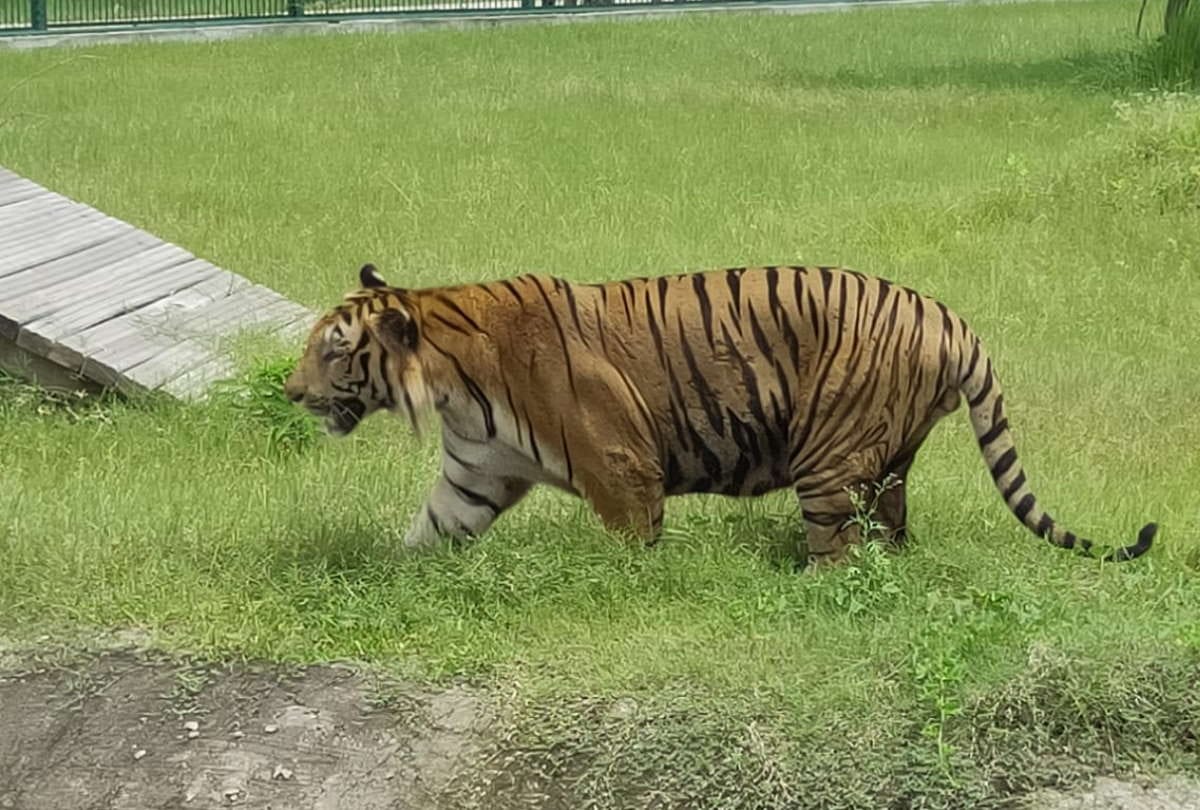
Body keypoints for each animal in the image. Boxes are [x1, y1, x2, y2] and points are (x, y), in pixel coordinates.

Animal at [283, 263, 1157, 568]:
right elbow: (428, 532)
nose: (290, 393)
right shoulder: (472, 474)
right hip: (888, 460)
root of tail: (952, 319)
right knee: (890, 531)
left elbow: (632, 548)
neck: (452, 385)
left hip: (827, 457)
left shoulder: (622, 468)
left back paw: (805, 584)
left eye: (333, 349)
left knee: (840, 550)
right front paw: (389, 580)